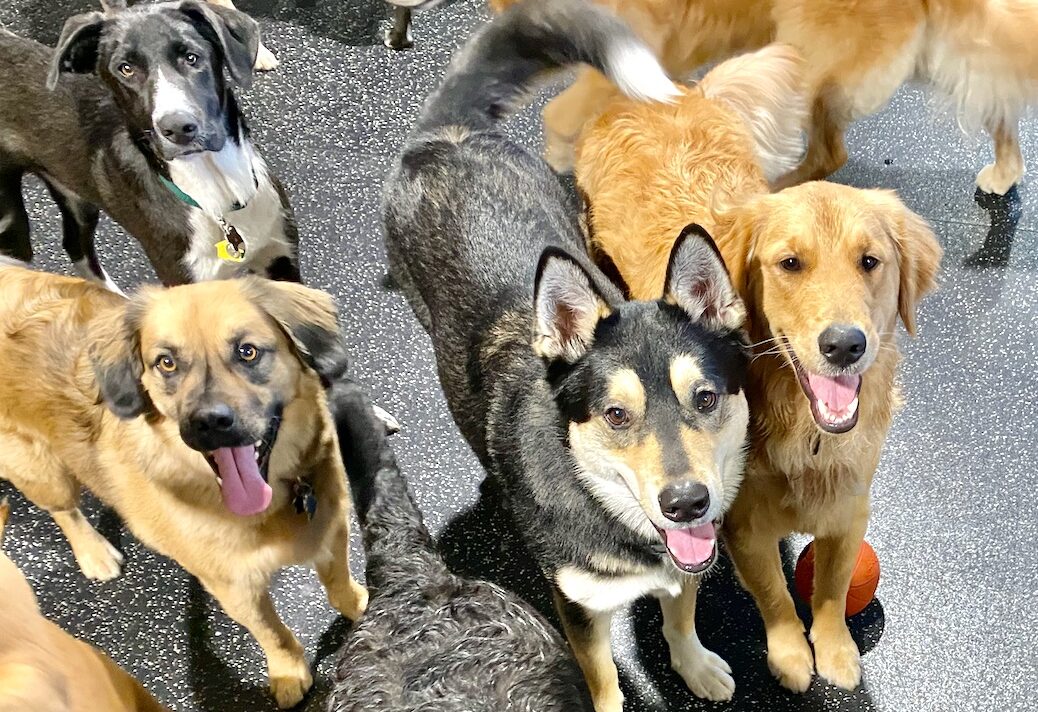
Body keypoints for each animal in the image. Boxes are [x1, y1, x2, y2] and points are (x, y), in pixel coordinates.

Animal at [0, 260, 369, 709]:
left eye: (247, 351)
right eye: (166, 363)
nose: (209, 422)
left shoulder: (332, 531)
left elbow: (339, 584)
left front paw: (362, 606)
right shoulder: (235, 588)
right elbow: (273, 633)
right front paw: (289, 672)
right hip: (40, 468)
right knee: (64, 509)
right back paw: (94, 552)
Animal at [1, 2, 301, 288]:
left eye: (191, 57)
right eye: (126, 68)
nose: (177, 128)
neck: (219, 191)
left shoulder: (281, 258)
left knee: (76, 245)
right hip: (11, 223)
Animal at [386, 2, 751, 709]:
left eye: (706, 399)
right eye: (615, 415)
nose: (687, 503)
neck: (606, 504)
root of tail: (448, 135)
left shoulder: (686, 558)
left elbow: (680, 611)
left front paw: (693, 664)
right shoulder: (578, 605)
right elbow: (603, 674)